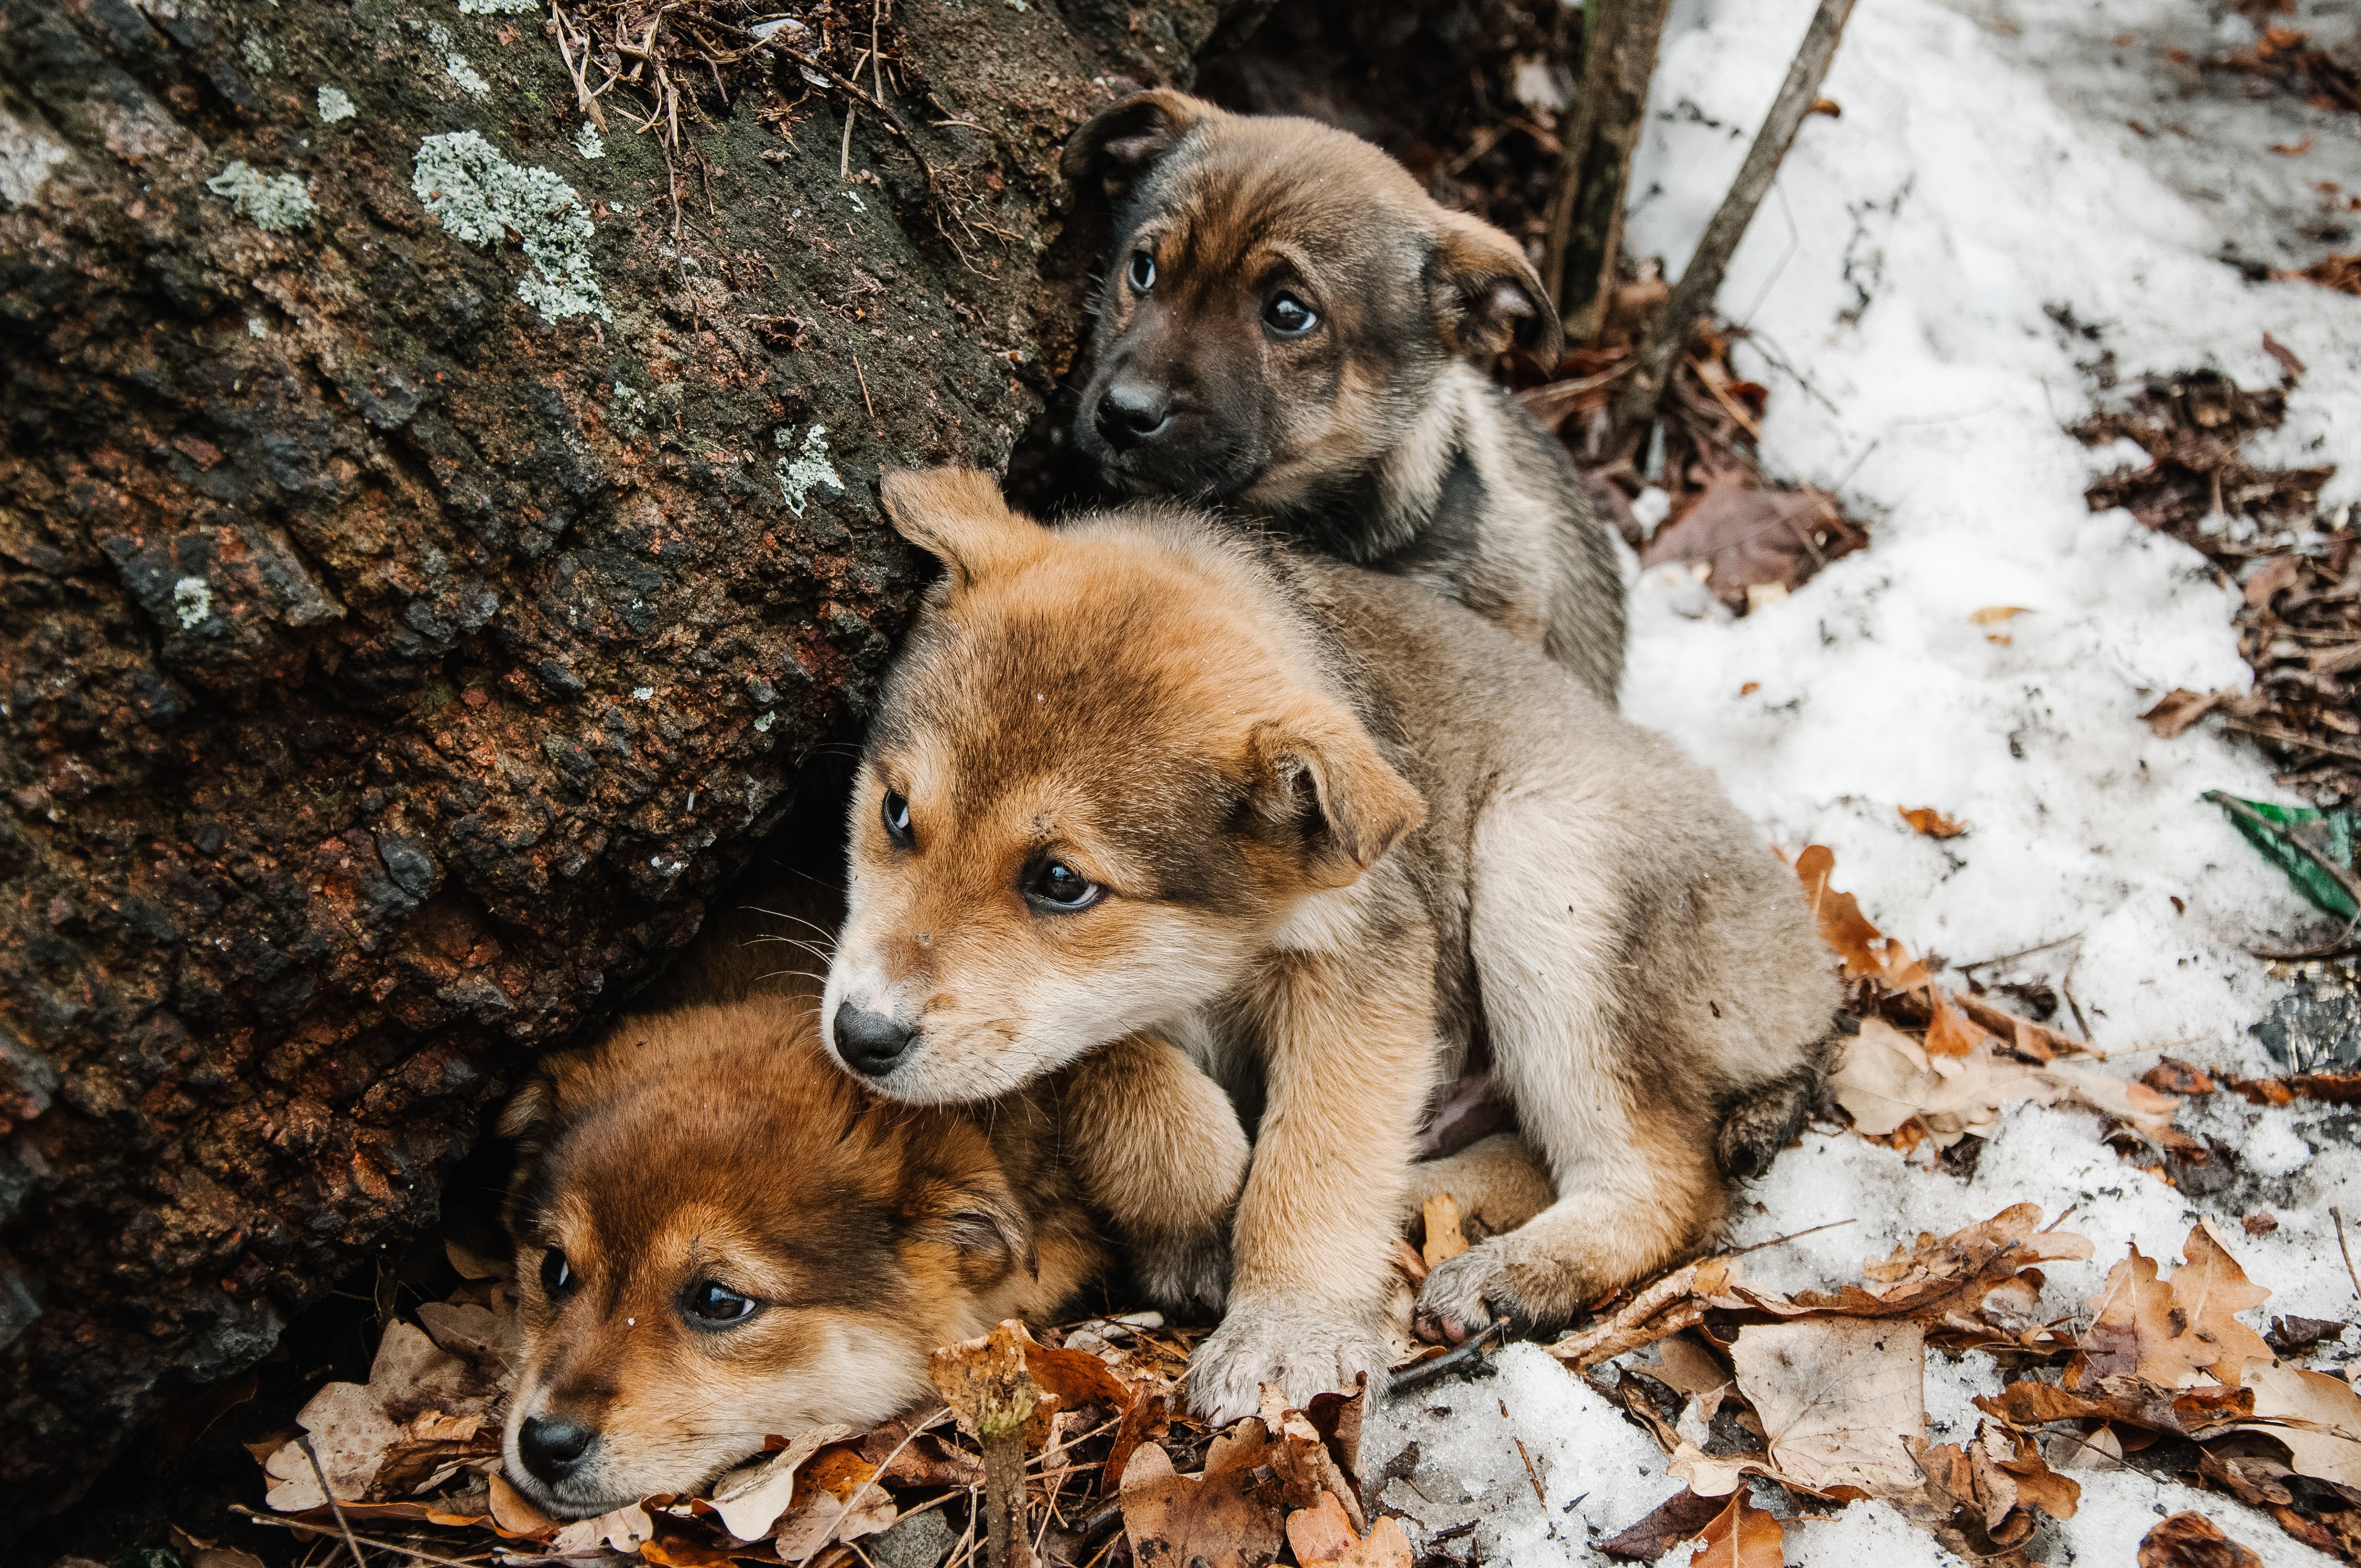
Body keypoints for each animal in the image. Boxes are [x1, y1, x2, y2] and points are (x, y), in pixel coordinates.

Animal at [831, 467, 1841, 1417]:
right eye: (895, 813)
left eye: (1060, 882)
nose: (857, 1038)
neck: (1227, 943)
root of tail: (1817, 976)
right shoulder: (1086, 1023)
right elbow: (1125, 1070)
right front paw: (1201, 1202)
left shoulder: (1363, 963)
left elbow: (1315, 1151)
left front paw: (1287, 1330)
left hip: (1544, 857)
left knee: (1669, 1179)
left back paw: (1512, 1271)